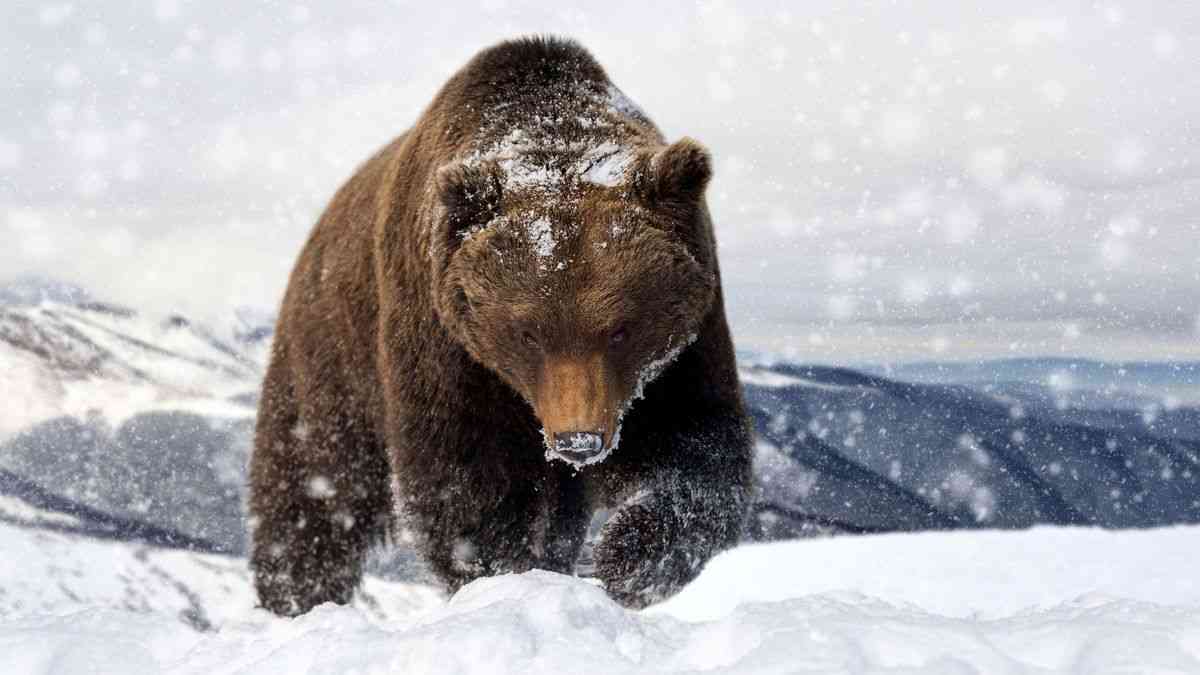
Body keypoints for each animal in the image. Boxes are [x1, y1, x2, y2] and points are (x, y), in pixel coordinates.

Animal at [248, 36, 753, 616]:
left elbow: (694, 447)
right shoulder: (450, 345)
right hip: (332, 348)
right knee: (315, 479)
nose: (579, 440)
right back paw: (294, 591)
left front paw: (629, 558)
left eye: (621, 329)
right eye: (528, 332)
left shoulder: (680, 349)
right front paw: (503, 573)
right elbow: (466, 476)